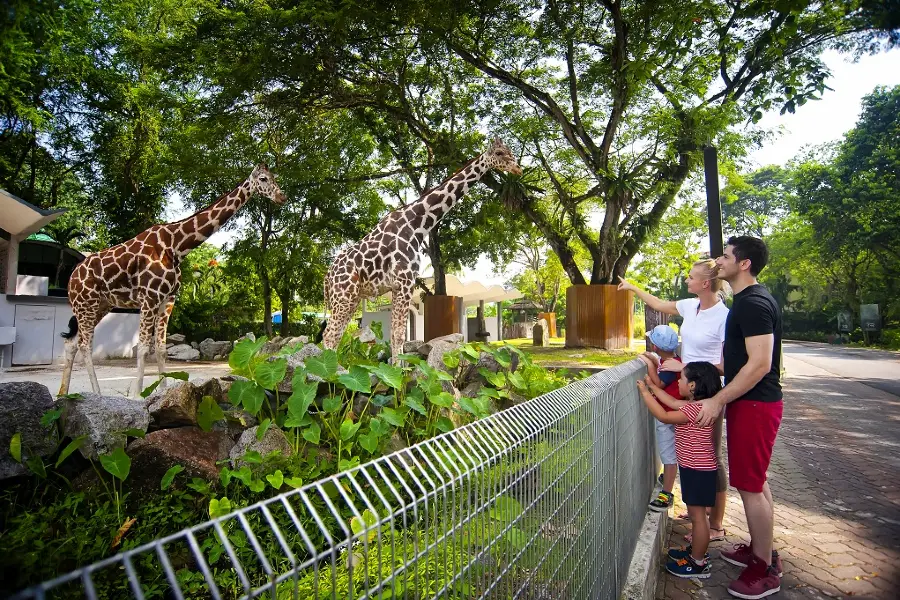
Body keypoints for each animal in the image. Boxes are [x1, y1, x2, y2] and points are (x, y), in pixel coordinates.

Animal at [60, 165, 284, 398]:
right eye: (263, 178)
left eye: (275, 177)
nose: (282, 197)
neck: (177, 246)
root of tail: (71, 279)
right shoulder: (149, 298)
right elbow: (143, 347)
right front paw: (138, 396)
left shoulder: (168, 298)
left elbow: (160, 348)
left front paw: (164, 392)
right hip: (86, 305)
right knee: (85, 345)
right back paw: (96, 393)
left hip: (100, 306)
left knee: (71, 343)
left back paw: (63, 394)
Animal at [322, 138, 520, 360]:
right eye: (500, 153)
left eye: (510, 151)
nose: (518, 168)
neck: (417, 224)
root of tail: (327, 278)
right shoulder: (404, 282)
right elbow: (399, 335)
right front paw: (397, 370)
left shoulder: (401, 285)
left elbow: (397, 335)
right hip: (343, 296)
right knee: (329, 335)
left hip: (351, 298)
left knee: (336, 335)